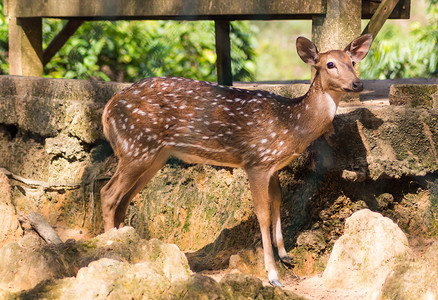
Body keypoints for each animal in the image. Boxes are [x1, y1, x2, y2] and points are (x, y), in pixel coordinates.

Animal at [101, 33, 372, 286]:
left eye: (353, 62)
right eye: (329, 64)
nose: (357, 83)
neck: (291, 126)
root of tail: (108, 108)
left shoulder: (273, 165)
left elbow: (278, 201)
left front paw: (285, 255)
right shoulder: (256, 161)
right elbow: (262, 213)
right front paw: (273, 274)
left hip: (155, 155)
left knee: (125, 198)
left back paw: (133, 246)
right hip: (136, 146)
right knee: (108, 193)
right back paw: (109, 250)